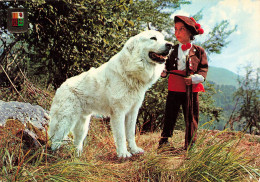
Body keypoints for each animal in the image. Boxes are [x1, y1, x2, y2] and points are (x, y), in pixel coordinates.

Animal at [48, 29, 173, 158]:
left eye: (163, 38)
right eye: (153, 38)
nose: (170, 45)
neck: (130, 71)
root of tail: (61, 86)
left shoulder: (132, 111)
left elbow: (131, 134)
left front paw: (134, 150)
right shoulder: (119, 112)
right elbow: (121, 135)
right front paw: (123, 153)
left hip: (82, 124)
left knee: (77, 142)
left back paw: (77, 156)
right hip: (65, 120)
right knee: (55, 139)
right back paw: (56, 154)